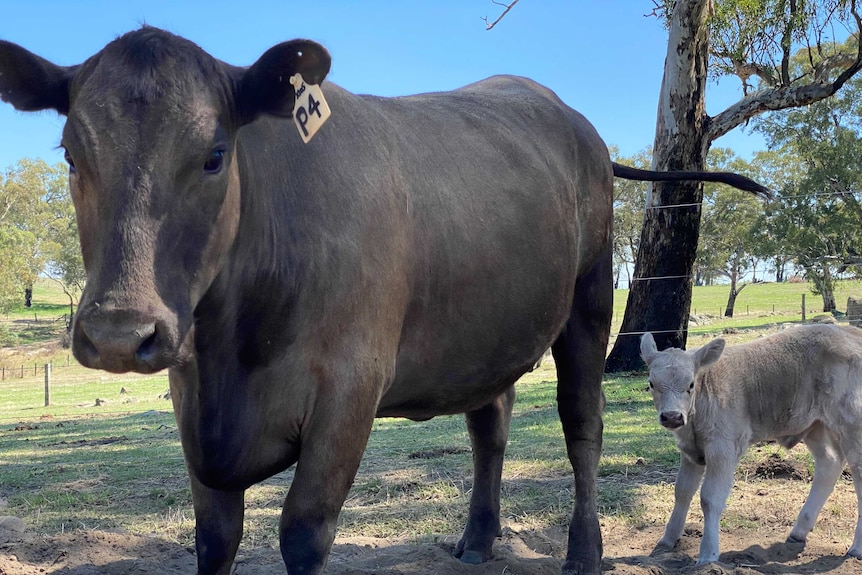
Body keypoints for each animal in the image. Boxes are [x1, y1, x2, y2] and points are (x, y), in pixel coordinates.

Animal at [0, 29, 768, 575]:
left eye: (215, 154)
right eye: (70, 154)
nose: (119, 333)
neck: (231, 350)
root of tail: (571, 120)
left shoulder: (348, 389)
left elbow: (304, 529)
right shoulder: (194, 402)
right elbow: (214, 537)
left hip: (588, 304)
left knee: (583, 426)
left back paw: (584, 553)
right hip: (482, 332)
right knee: (489, 428)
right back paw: (476, 540)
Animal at [636, 326, 862, 564]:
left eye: (690, 384)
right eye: (651, 384)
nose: (672, 416)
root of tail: (848, 331)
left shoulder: (722, 448)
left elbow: (710, 498)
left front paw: (708, 554)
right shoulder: (690, 452)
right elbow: (682, 491)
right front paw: (667, 540)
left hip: (851, 423)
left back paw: (856, 548)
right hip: (814, 425)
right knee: (830, 463)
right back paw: (799, 531)